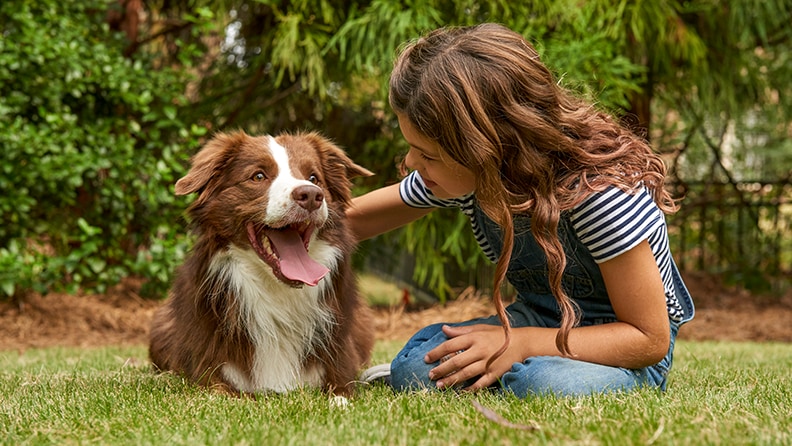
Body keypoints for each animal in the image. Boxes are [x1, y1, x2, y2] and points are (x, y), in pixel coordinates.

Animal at [149, 130, 378, 398]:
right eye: (258, 176)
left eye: (314, 177)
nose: (311, 195)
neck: (279, 295)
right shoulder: (210, 369)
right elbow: (219, 391)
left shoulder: (340, 360)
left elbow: (341, 392)